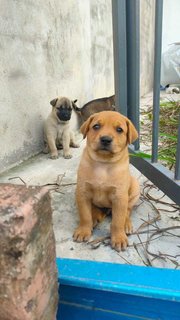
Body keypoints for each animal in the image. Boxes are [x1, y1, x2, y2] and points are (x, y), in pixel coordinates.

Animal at [73, 111, 139, 251]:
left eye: (119, 129)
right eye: (96, 126)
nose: (105, 139)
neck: (103, 163)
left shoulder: (119, 197)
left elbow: (117, 221)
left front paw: (118, 238)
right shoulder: (82, 192)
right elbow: (85, 215)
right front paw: (83, 230)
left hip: (135, 188)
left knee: (128, 210)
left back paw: (126, 224)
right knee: (95, 208)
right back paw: (95, 217)